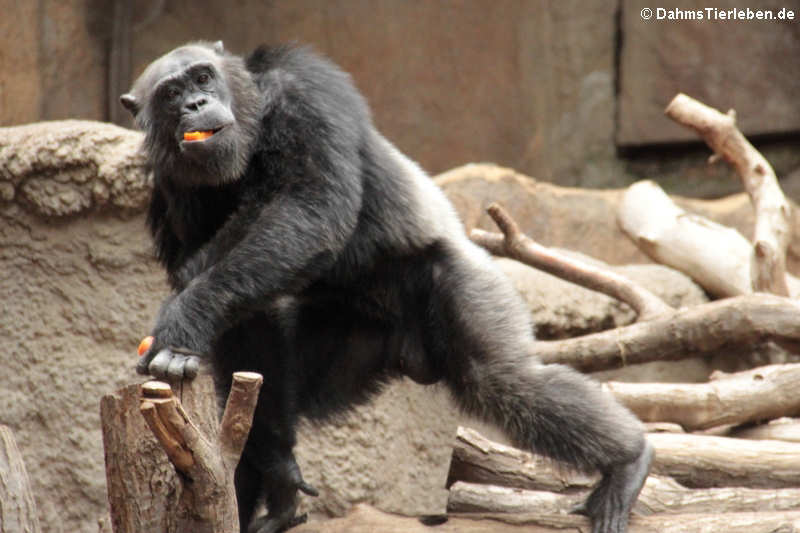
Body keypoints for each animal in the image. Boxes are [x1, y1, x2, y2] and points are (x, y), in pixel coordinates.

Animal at [122, 41, 652, 532]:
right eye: (171, 94)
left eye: (202, 76)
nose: (195, 103)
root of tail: (411, 352)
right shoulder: (169, 186)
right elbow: (238, 300)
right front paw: (274, 466)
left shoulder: (309, 91)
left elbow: (310, 205)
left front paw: (181, 321)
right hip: (345, 346)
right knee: (262, 396)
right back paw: (275, 484)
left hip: (464, 285)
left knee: (503, 381)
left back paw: (628, 460)